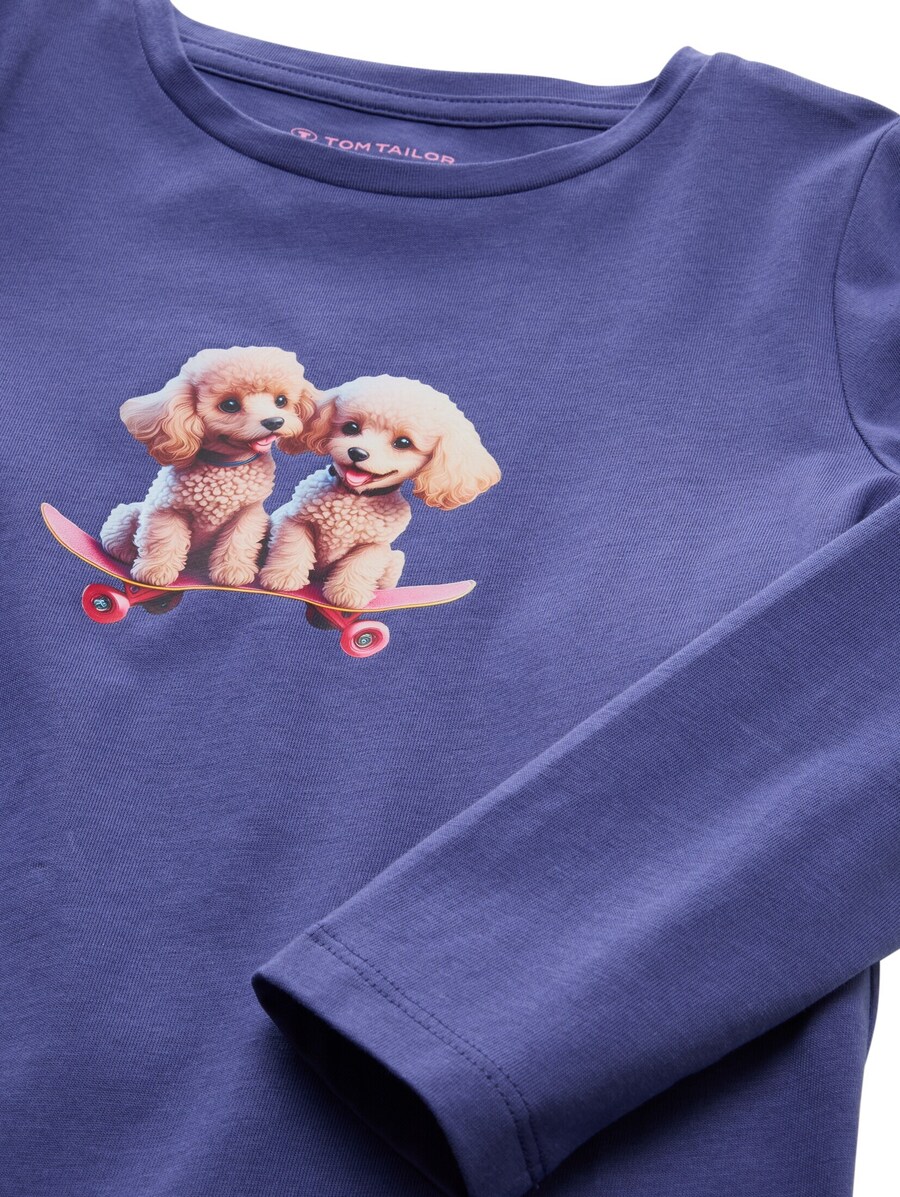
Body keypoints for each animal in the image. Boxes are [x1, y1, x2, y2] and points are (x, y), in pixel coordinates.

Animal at [100, 345, 317, 587]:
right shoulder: (165, 509)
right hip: (127, 515)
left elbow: (238, 541)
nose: (274, 422)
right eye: (230, 405)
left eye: (281, 400)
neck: (227, 465)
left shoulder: (247, 512)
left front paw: (232, 570)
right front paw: (156, 569)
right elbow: (164, 538)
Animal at [257, 374, 500, 609]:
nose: (357, 452)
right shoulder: (294, 520)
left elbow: (359, 565)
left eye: (403, 442)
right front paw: (283, 576)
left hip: (394, 561)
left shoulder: (373, 546)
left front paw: (347, 593)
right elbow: (292, 547)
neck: (355, 497)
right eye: (351, 428)